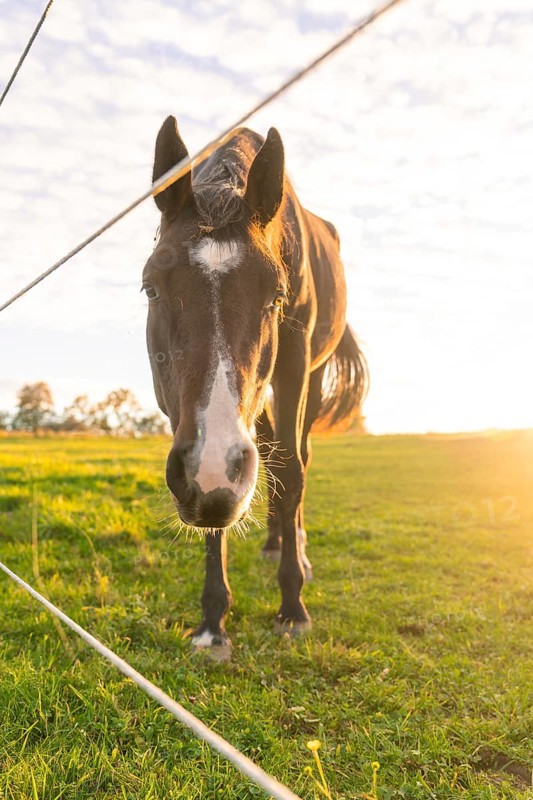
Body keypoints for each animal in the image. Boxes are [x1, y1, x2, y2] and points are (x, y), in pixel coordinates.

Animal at [142, 116, 366, 655]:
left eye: (277, 296)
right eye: (150, 287)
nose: (212, 472)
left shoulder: (293, 362)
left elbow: (290, 474)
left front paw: (292, 607)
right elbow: (221, 500)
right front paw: (212, 622)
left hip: (309, 379)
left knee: (298, 458)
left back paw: (296, 550)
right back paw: (272, 542)